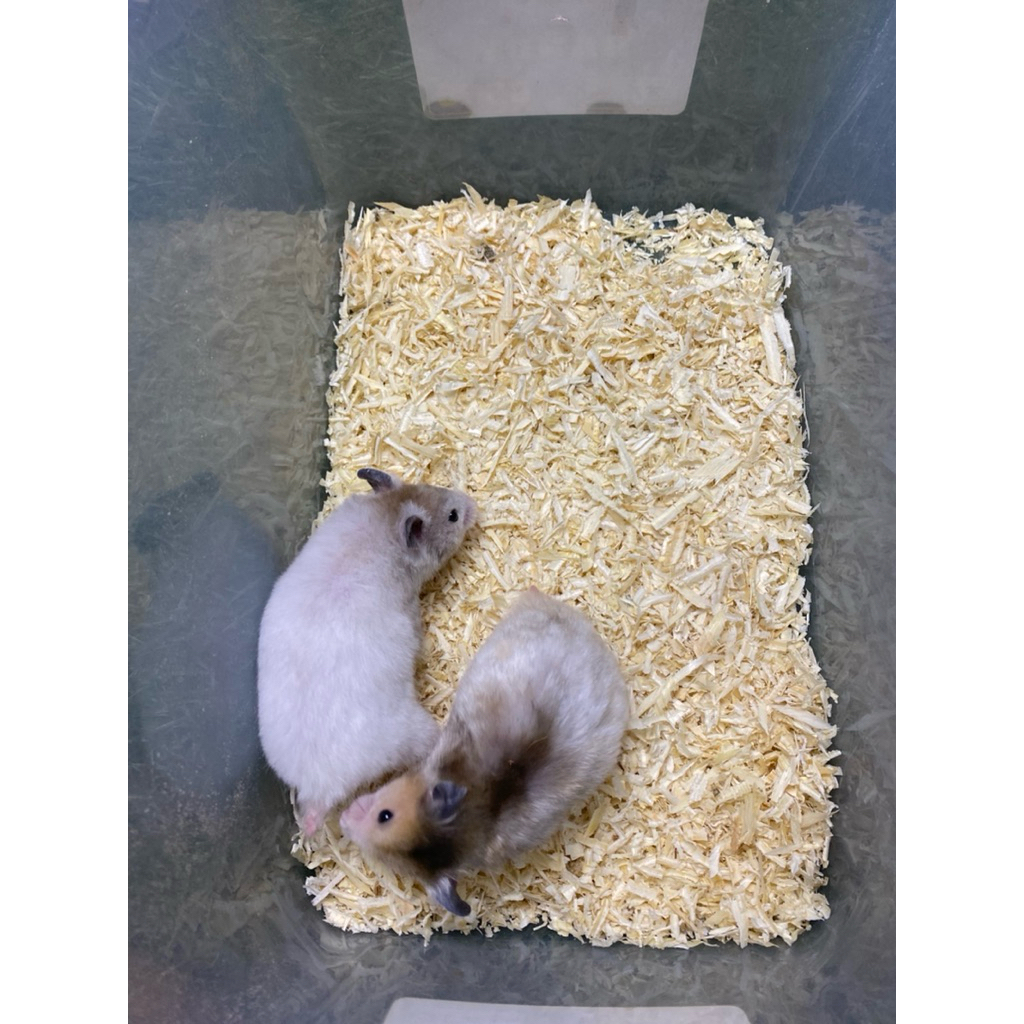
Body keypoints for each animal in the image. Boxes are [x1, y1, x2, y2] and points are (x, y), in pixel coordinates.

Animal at [257, 467, 476, 837]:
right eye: (452, 516)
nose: (473, 504)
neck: (384, 520)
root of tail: (319, 786)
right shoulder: (409, 609)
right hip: (413, 731)